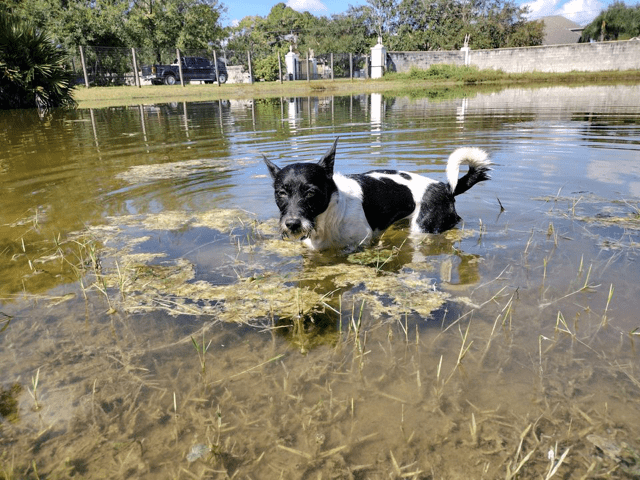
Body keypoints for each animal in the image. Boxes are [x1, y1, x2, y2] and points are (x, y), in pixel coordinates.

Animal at [262, 139, 492, 251]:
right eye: (281, 193)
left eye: (310, 192)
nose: (292, 224)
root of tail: (445, 187)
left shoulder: (360, 244)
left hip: (424, 228)